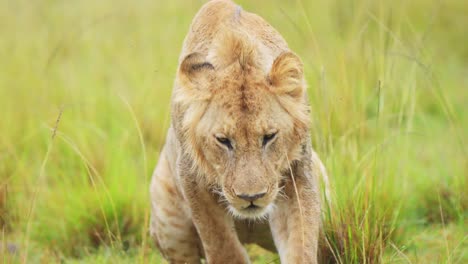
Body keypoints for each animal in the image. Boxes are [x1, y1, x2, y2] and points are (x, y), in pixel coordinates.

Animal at [148, 1, 328, 262]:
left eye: (269, 137)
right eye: (223, 140)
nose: (251, 198)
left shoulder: (298, 174)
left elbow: (300, 245)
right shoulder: (192, 179)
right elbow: (224, 248)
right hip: (168, 221)